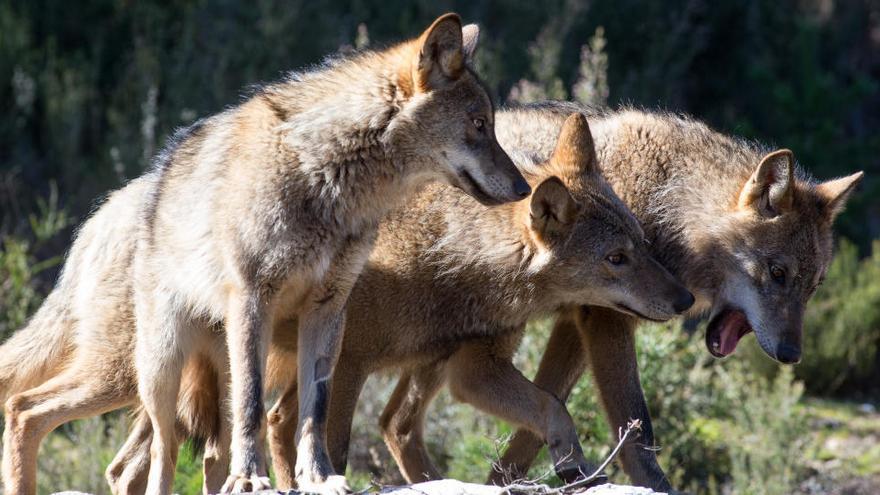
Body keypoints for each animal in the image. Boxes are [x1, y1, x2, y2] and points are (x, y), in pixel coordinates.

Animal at [0, 14, 528, 495]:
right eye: (479, 124)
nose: (525, 188)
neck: (326, 179)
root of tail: (103, 213)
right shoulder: (255, 298)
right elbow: (255, 402)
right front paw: (253, 477)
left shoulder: (329, 310)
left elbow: (315, 408)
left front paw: (319, 478)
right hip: (149, 371)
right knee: (46, 416)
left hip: (196, 375)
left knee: (181, 456)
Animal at [386, 101, 868, 492]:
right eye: (778, 273)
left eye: (814, 286)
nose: (791, 354)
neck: (666, 206)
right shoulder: (606, 321)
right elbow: (637, 430)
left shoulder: (575, 324)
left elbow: (539, 416)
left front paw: (507, 480)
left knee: (396, 423)